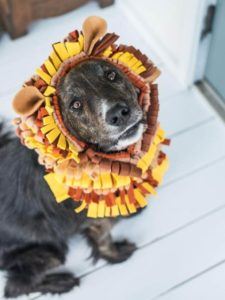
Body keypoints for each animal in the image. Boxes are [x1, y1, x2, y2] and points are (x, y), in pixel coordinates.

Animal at [0, 58, 144, 298]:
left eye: (111, 75)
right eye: (75, 104)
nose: (118, 114)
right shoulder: (95, 221)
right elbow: (103, 240)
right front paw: (116, 255)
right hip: (48, 252)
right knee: (15, 288)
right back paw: (62, 282)